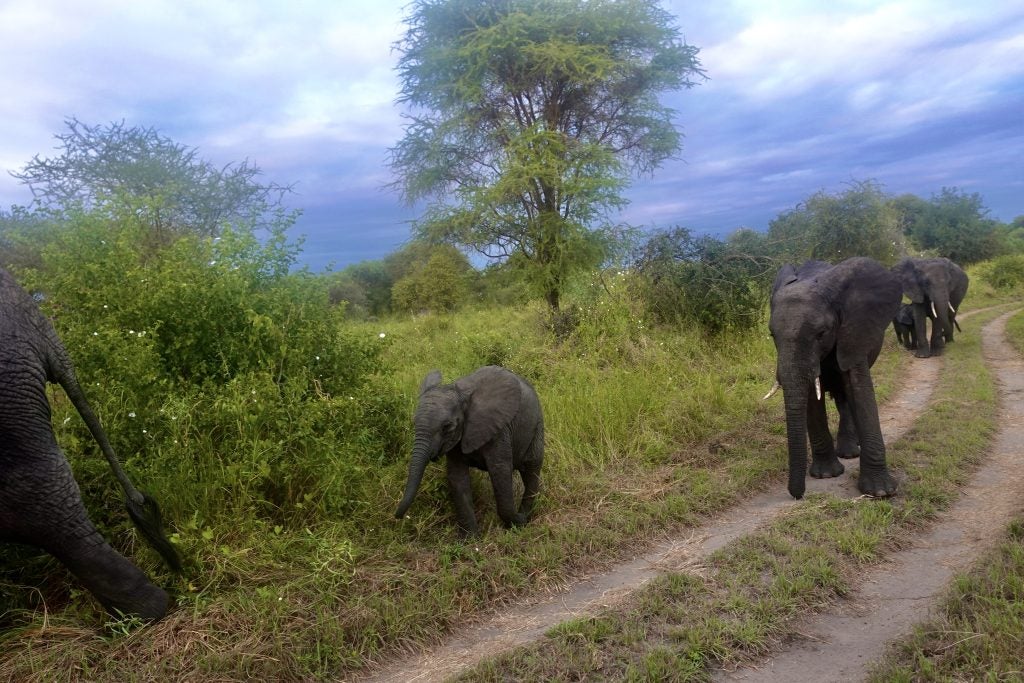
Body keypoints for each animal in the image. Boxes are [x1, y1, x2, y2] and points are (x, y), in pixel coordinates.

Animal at [395, 365, 544, 536]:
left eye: (447, 427)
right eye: (413, 423)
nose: (398, 517)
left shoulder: (498, 429)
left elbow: (500, 472)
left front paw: (517, 522)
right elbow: (457, 478)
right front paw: (470, 538)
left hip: (537, 425)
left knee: (531, 469)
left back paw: (525, 517)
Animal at [767, 257, 902, 499]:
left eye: (821, 333)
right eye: (772, 334)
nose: (796, 495)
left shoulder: (854, 333)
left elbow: (859, 389)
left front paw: (880, 492)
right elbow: (813, 397)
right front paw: (826, 475)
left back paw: (850, 452)